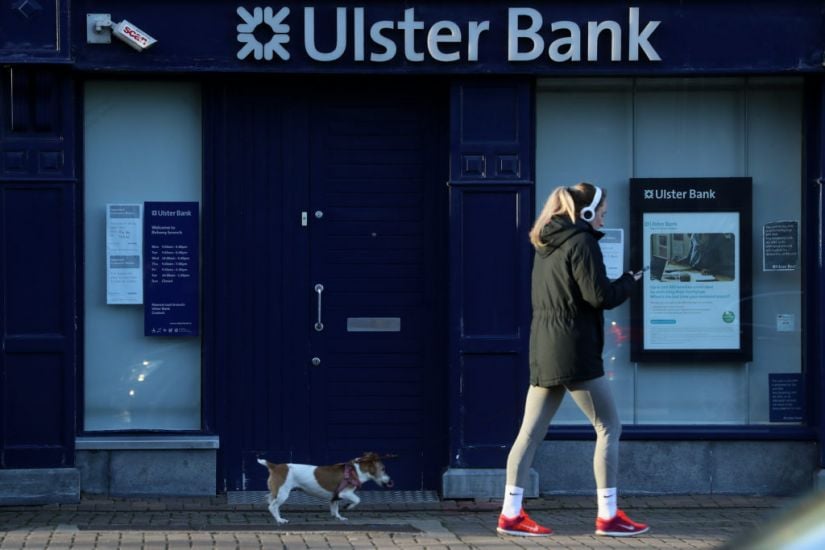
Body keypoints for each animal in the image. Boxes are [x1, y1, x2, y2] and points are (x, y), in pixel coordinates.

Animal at [260, 452, 398, 528]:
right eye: (383, 469)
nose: (390, 480)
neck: (356, 471)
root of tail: (275, 466)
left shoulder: (336, 496)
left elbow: (335, 507)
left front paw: (338, 517)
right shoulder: (345, 493)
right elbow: (357, 499)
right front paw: (348, 507)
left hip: (277, 492)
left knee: (270, 500)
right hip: (283, 493)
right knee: (272, 506)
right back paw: (279, 520)